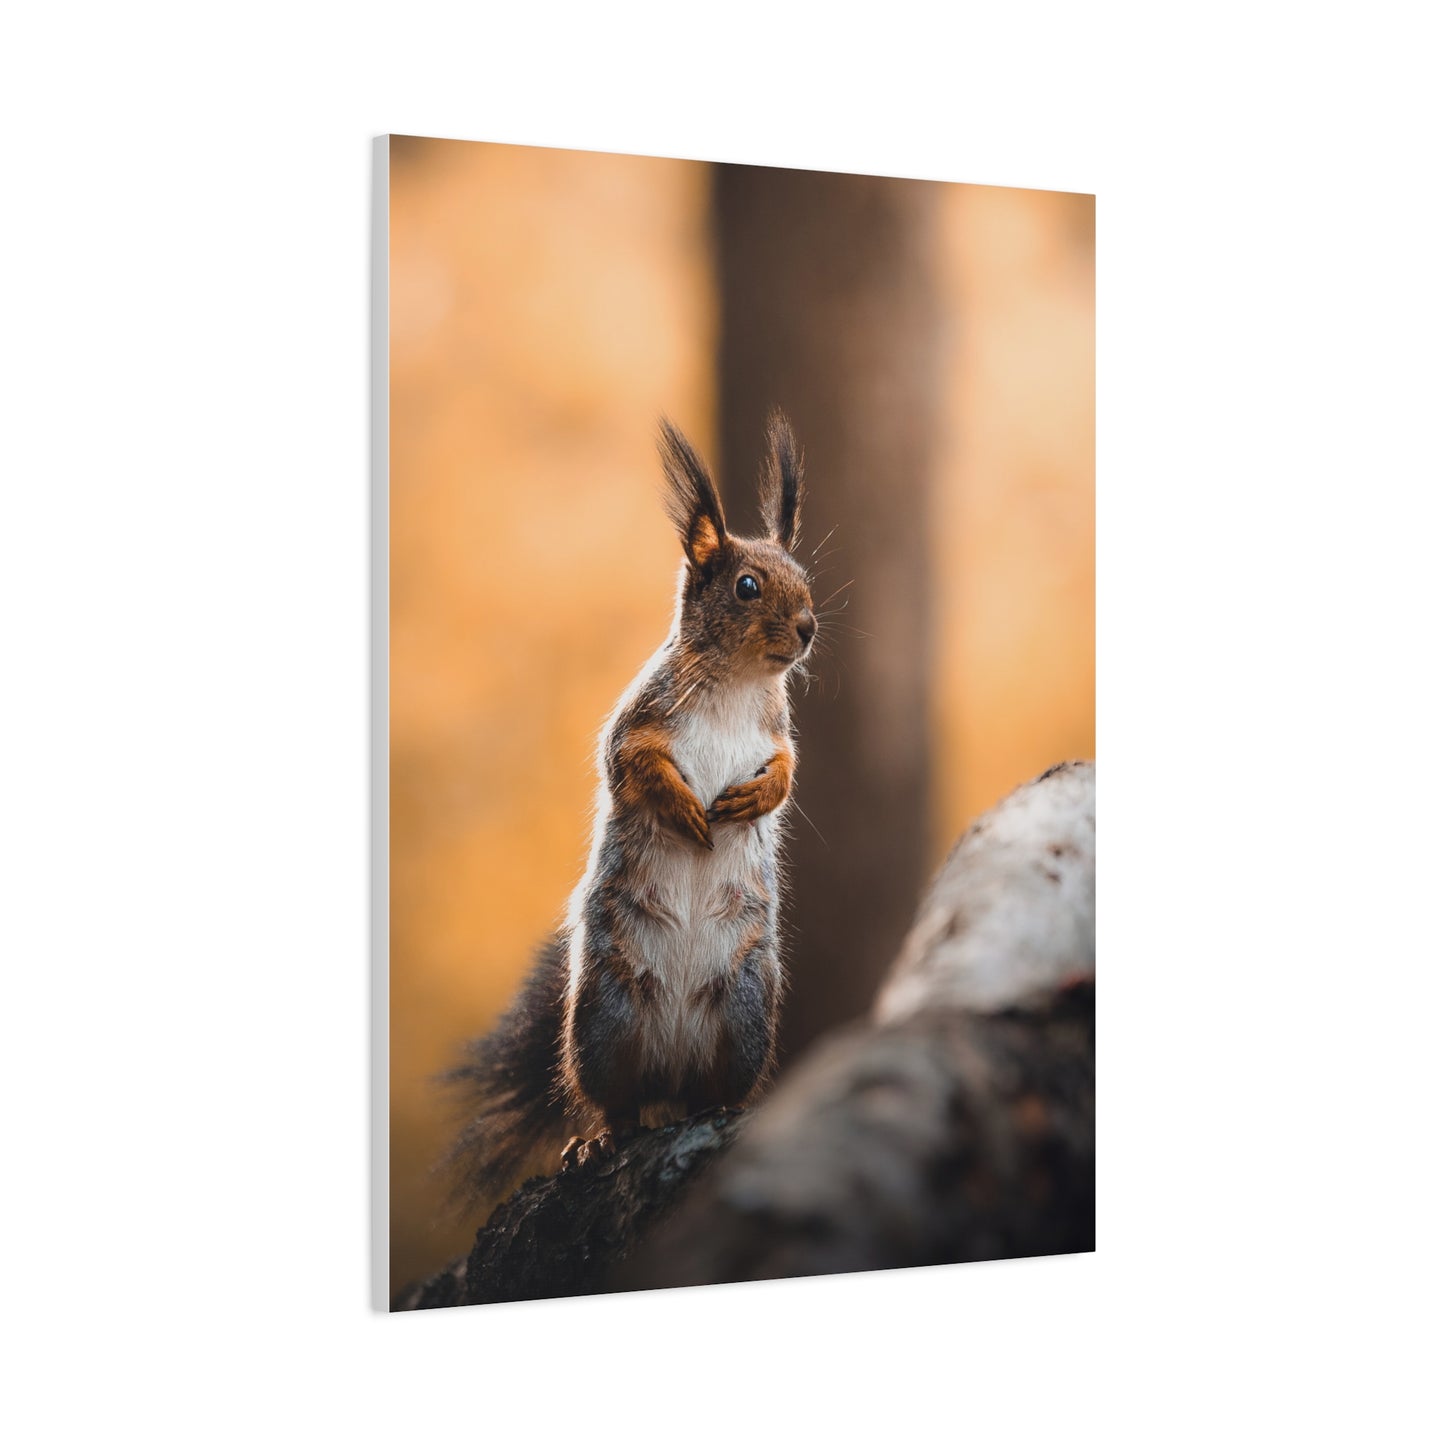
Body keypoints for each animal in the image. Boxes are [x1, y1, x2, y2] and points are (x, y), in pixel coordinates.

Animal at [442, 411, 816, 1210]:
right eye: (746, 586)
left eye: (806, 580)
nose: (807, 627)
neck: (740, 682)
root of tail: (670, 1069)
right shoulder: (639, 720)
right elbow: (632, 765)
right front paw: (686, 809)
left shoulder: (777, 733)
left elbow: (786, 774)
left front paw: (752, 797)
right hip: (604, 1021)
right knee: (617, 1101)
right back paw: (600, 1139)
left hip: (744, 1012)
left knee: (711, 1091)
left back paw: (718, 1110)